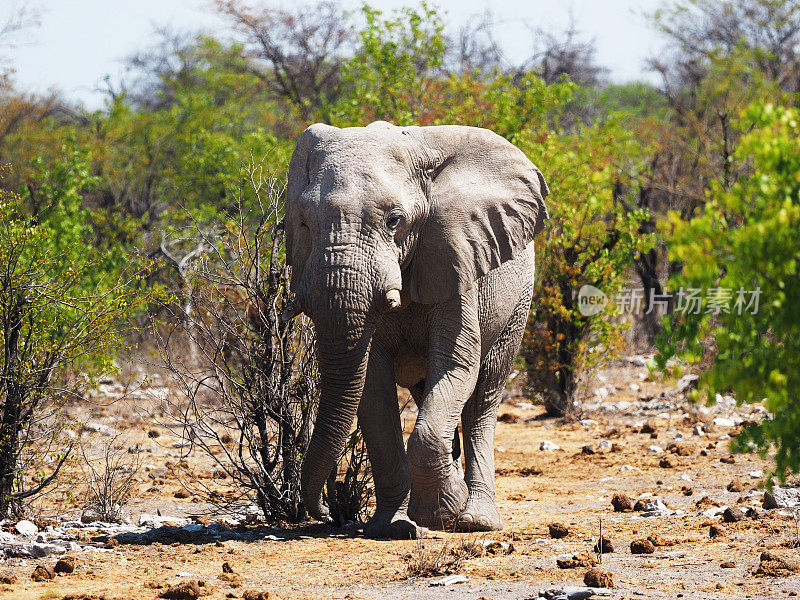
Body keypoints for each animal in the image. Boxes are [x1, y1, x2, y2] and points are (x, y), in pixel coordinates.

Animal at [288, 119, 552, 536]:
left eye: (394, 221)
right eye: (303, 222)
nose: (327, 511)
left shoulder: (455, 261)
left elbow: (457, 364)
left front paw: (442, 514)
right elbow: (372, 387)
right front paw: (393, 527)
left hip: (518, 301)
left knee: (483, 397)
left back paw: (476, 519)